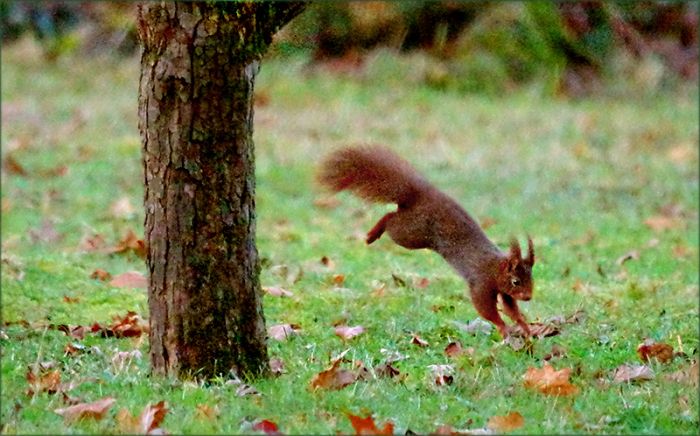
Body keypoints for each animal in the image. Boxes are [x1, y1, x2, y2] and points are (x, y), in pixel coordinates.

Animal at [318, 145, 535, 338]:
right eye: (516, 281)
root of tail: (420, 193)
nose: (528, 297)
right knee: (390, 217)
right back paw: (373, 234)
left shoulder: (504, 292)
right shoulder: (481, 282)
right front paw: (503, 326)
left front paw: (525, 326)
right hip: (411, 232)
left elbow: (511, 308)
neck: (496, 268)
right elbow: (485, 308)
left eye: (531, 279)